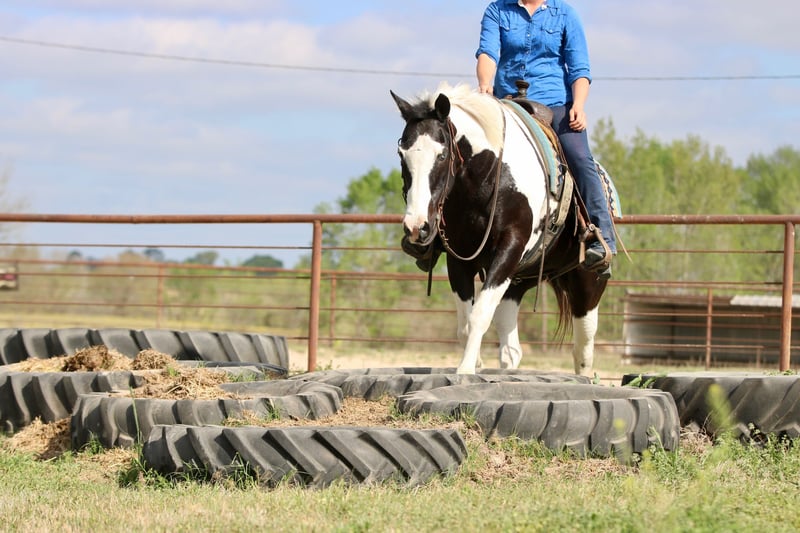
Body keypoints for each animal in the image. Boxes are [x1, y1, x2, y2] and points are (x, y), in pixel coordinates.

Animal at [390, 83, 609, 377]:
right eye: (401, 154)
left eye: (442, 154)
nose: (416, 227)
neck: (490, 176)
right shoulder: (459, 260)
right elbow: (465, 325)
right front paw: (475, 364)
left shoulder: (510, 246)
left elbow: (480, 315)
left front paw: (466, 370)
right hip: (516, 283)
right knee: (511, 347)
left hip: (588, 283)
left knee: (583, 348)